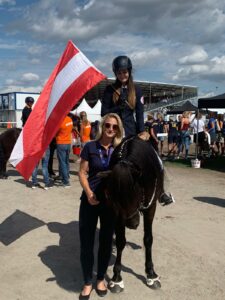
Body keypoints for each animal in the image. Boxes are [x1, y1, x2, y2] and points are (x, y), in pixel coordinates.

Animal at [98, 135, 163, 292]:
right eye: (112, 197)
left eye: (135, 192)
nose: (132, 223)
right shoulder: (117, 213)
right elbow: (121, 241)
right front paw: (116, 278)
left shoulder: (151, 208)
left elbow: (148, 239)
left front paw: (151, 274)